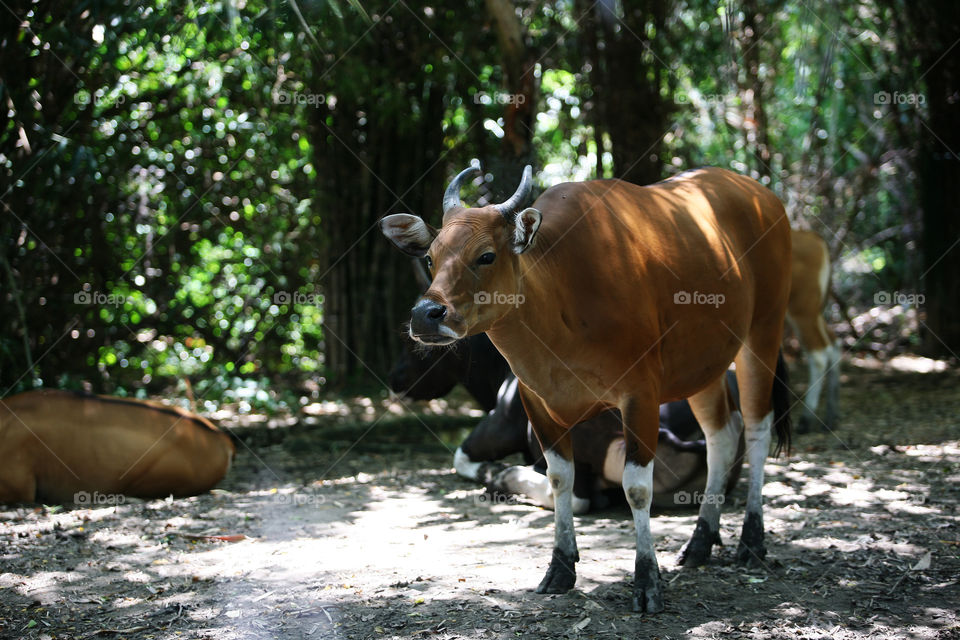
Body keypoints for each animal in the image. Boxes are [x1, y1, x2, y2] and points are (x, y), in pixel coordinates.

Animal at [381, 164, 792, 612]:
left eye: (486, 255)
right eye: (431, 257)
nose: (425, 314)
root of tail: (764, 197)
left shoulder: (640, 395)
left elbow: (637, 489)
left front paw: (647, 580)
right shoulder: (537, 402)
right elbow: (560, 478)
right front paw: (560, 567)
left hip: (763, 332)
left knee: (757, 428)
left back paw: (751, 541)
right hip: (704, 366)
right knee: (723, 435)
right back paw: (700, 542)